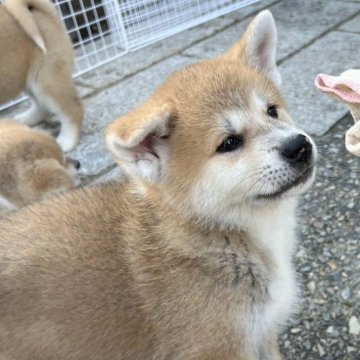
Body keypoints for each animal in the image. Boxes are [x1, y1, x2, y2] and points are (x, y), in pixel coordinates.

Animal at [0, 0, 83, 150]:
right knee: (41, 106)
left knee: (73, 109)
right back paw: (26, 119)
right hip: (30, 79)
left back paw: (67, 141)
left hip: (46, 79)